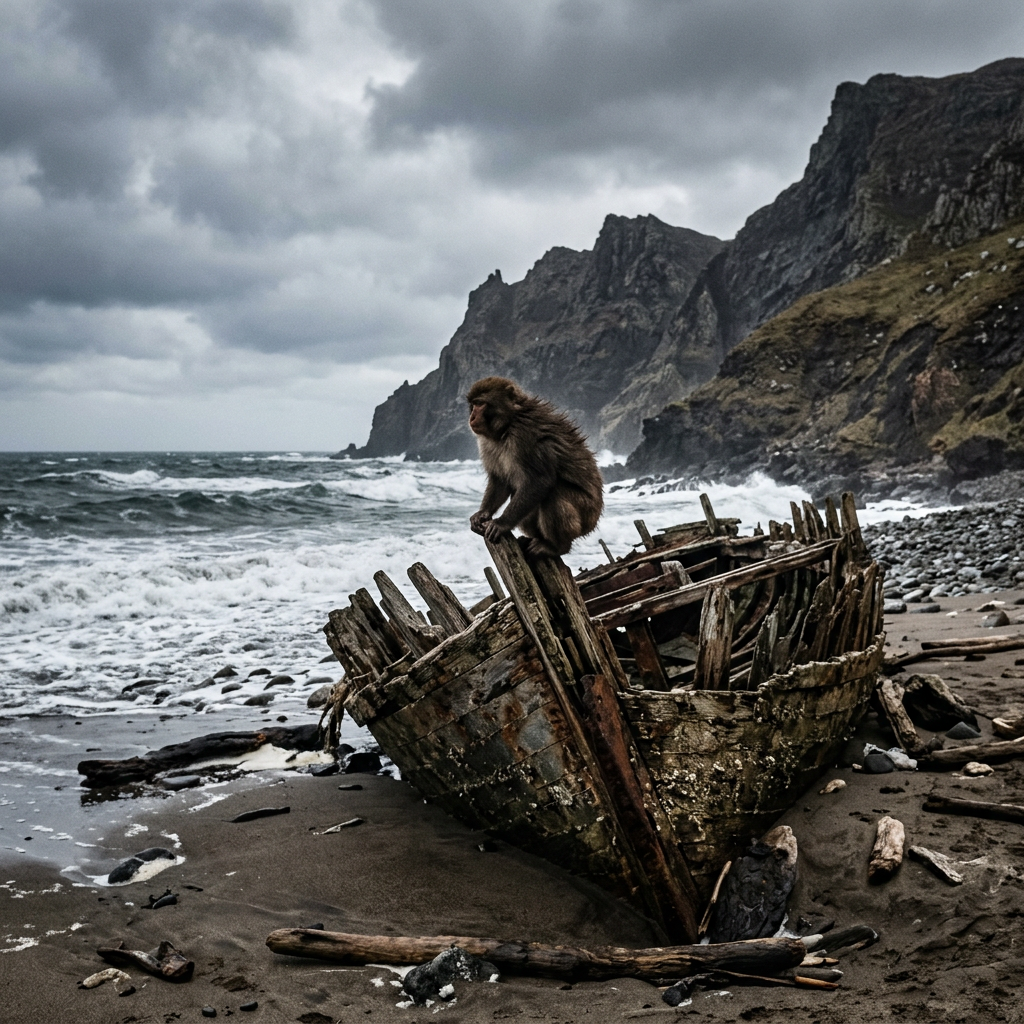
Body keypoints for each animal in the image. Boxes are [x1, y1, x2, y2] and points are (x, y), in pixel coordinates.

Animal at [467, 376, 604, 557]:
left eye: (480, 403)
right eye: (473, 404)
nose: (472, 417)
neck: (509, 424)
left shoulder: (525, 435)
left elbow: (540, 481)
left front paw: (502, 524)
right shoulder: (487, 443)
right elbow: (501, 481)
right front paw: (483, 514)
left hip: (587, 512)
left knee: (553, 494)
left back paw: (556, 547)